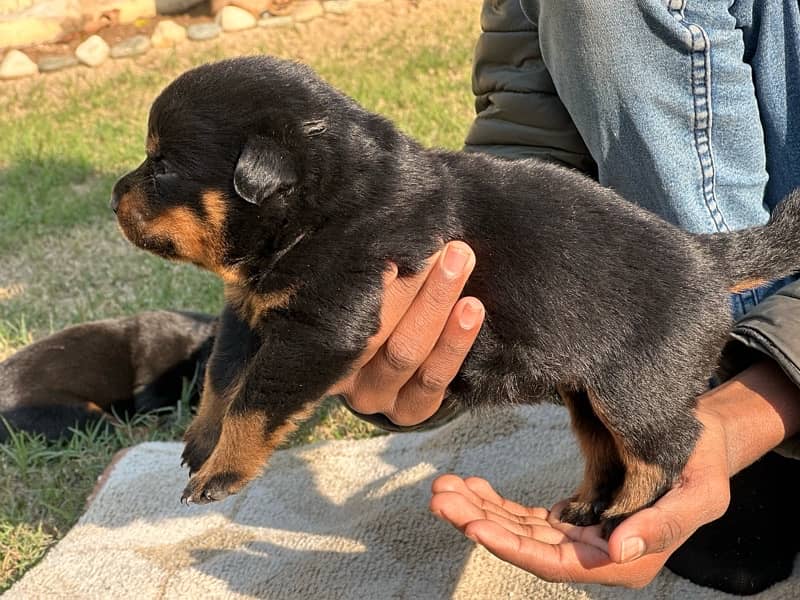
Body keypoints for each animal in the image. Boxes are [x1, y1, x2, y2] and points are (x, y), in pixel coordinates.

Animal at [111, 56, 800, 536]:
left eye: (162, 167)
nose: (115, 194)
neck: (322, 208)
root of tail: (704, 256)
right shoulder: (249, 313)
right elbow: (222, 377)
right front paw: (200, 443)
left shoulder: (320, 328)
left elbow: (255, 401)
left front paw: (222, 473)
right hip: (589, 394)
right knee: (607, 449)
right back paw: (586, 507)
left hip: (637, 385)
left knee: (667, 445)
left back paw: (624, 514)